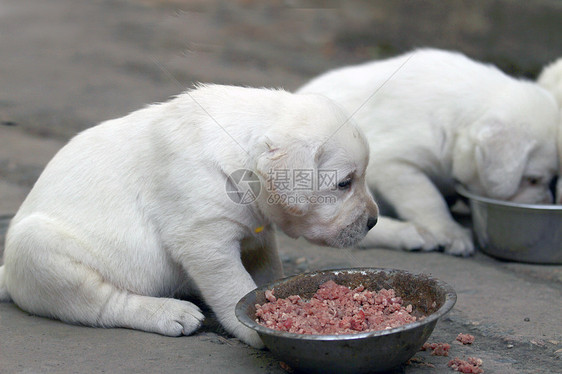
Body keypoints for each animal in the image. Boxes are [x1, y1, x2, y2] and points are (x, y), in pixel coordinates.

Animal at [0, 84, 378, 348]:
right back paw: (170, 313)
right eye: (345, 183)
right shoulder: (205, 239)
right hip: (40, 248)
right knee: (103, 305)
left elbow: (268, 269)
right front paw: (255, 330)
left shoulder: (256, 233)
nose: (374, 220)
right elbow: (233, 285)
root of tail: (8, 276)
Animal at [296, 48, 556, 256]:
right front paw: (450, 232)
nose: (548, 202)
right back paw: (409, 233)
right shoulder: (394, 163)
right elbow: (427, 198)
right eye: (533, 179)